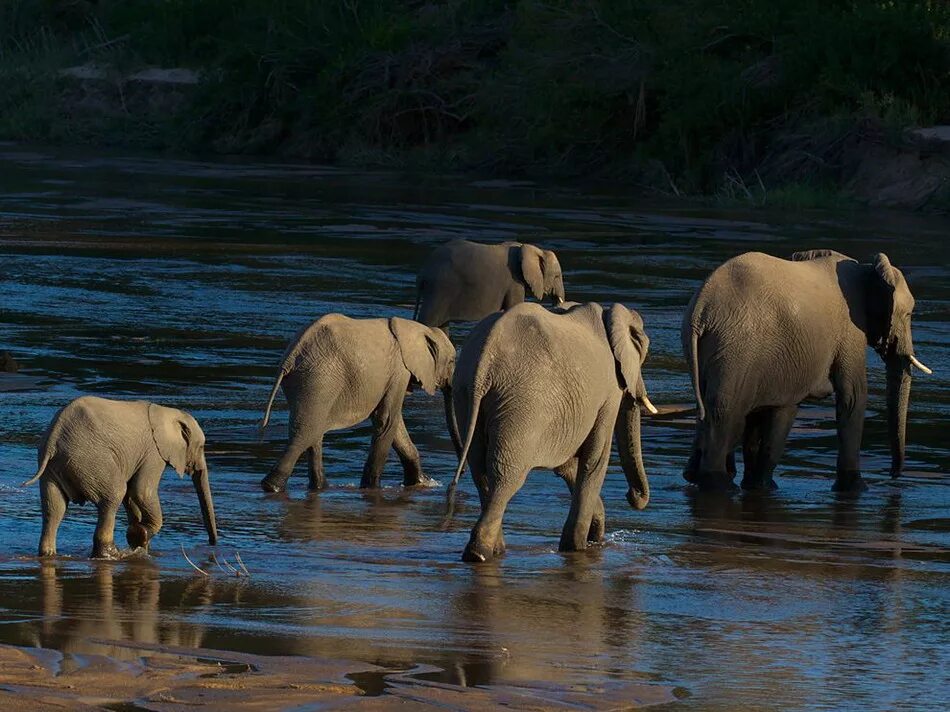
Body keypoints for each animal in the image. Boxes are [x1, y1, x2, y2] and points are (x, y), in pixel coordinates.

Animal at [22, 398, 219, 560]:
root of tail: (53, 438)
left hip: (53, 469)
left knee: (54, 508)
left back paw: (48, 554)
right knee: (114, 495)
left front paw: (139, 542)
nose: (212, 544)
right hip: (91, 460)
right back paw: (111, 555)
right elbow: (141, 491)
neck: (167, 412)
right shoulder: (153, 452)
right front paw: (140, 535)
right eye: (202, 447)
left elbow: (131, 496)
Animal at [260, 314, 462, 492]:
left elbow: (393, 424)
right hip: (319, 379)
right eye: (452, 361)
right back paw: (272, 486)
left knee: (312, 432)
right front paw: (372, 488)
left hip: (306, 382)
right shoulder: (399, 370)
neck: (419, 329)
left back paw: (319, 487)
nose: (455, 481)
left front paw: (421, 482)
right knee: (306, 433)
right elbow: (387, 420)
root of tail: (291, 356)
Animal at [450, 300, 660, 560]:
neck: (608, 316)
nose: (632, 496)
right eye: (643, 352)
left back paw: (494, 550)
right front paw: (577, 547)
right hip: (522, 404)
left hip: (465, 395)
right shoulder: (609, 393)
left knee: (480, 469)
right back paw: (479, 553)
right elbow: (595, 459)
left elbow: (568, 465)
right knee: (505, 476)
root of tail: (484, 359)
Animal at [680, 248, 932, 492]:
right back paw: (720, 486)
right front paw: (858, 489)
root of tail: (701, 309)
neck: (868, 269)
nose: (893, 475)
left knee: (712, 409)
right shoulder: (850, 330)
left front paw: (757, 486)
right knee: (725, 413)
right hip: (736, 349)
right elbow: (853, 397)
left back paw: (698, 477)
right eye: (909, 314)